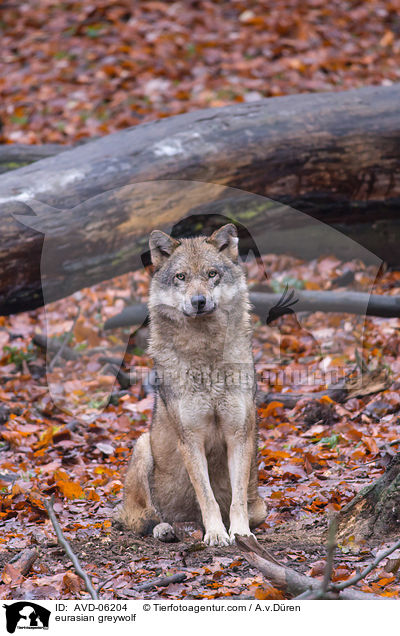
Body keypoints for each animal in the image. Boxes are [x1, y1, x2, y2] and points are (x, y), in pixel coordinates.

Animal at [115, 224, 266, 548]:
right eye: (181, 277)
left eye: (212, 274)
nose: (199, 301)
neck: (205, 355)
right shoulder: (191, 438)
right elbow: (206, 496)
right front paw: (216, 534)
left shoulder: (239, 434)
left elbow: (236, 499)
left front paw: (239, 532)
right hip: (143, 445)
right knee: (142, 518)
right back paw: (165, 528)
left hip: (260, 505)